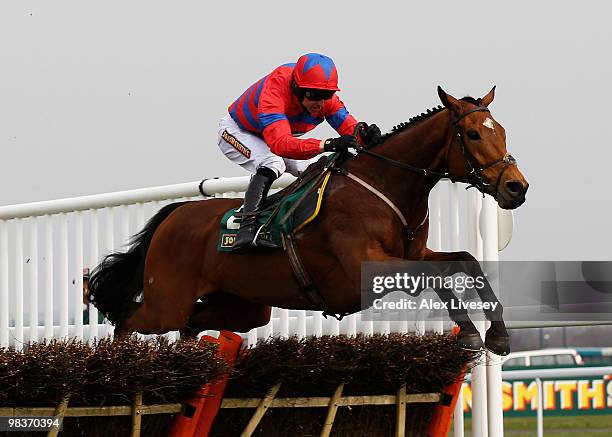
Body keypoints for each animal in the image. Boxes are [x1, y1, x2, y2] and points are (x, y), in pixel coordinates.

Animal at [88, 85, 528, 354]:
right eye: (473, 134)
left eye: (503, 131)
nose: (516, 187)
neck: (385, 184)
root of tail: (175, 213)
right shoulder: (368, 267)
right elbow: (438, 276)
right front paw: (470, 332)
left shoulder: (415, 253)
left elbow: (465, 260)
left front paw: (499, 335)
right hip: (166, 303)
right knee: (127, 318)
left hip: (242, 308)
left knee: (192, 325)